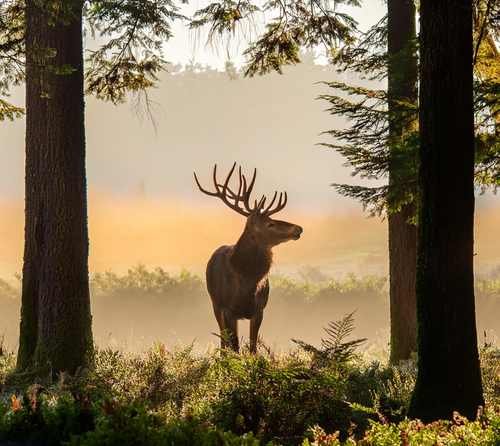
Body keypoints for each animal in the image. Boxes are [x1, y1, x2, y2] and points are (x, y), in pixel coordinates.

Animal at [193, 162, 302, 354]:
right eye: (270, 224)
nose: (299, 228)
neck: (246, 281)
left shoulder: (259, 310)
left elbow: (253, 348)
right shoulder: (228, 309)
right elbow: (235, 348)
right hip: (215, 304)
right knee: (223, 342)